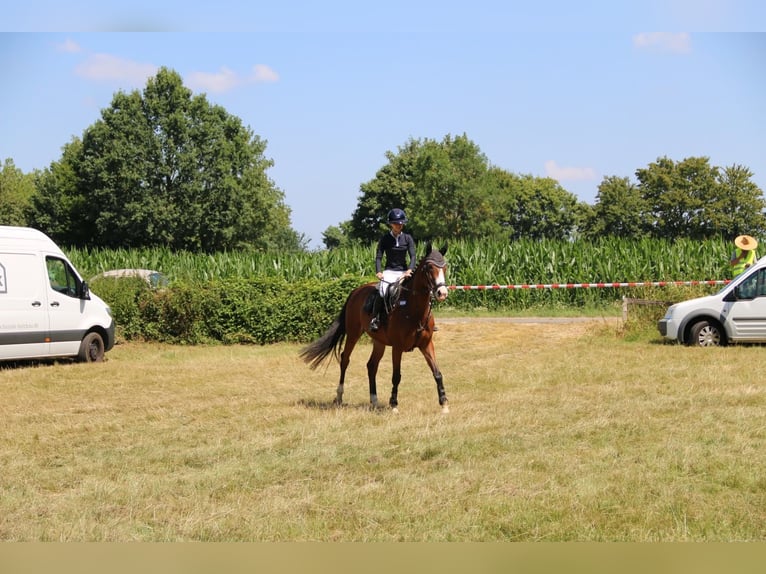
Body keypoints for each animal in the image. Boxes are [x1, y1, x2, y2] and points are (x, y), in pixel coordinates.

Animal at [300, 243, 450, 413]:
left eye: (445, 267)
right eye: (430, 267)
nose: (442, 293)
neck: (413, 310)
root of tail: (356, 291)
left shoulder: (426, 345)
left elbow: (437, 373)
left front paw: (444, 404)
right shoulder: (397, 347)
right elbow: (396, 376)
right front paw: (394, 405)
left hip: (379, 341)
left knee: (371, 365)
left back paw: (374, 400)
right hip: (353, 334)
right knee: (345, 359)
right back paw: (339, 396)